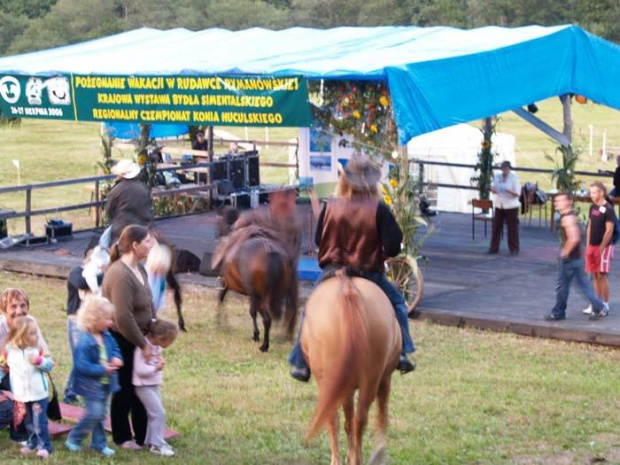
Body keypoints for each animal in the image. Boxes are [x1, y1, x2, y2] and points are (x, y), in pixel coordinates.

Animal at [302, 272, 402, 464]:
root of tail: (348, 290)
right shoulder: (384, 378)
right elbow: (377, 415)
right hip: (370, 378)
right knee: (360, 418)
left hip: (330, 380)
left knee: (336, 418)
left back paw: (341, 459)